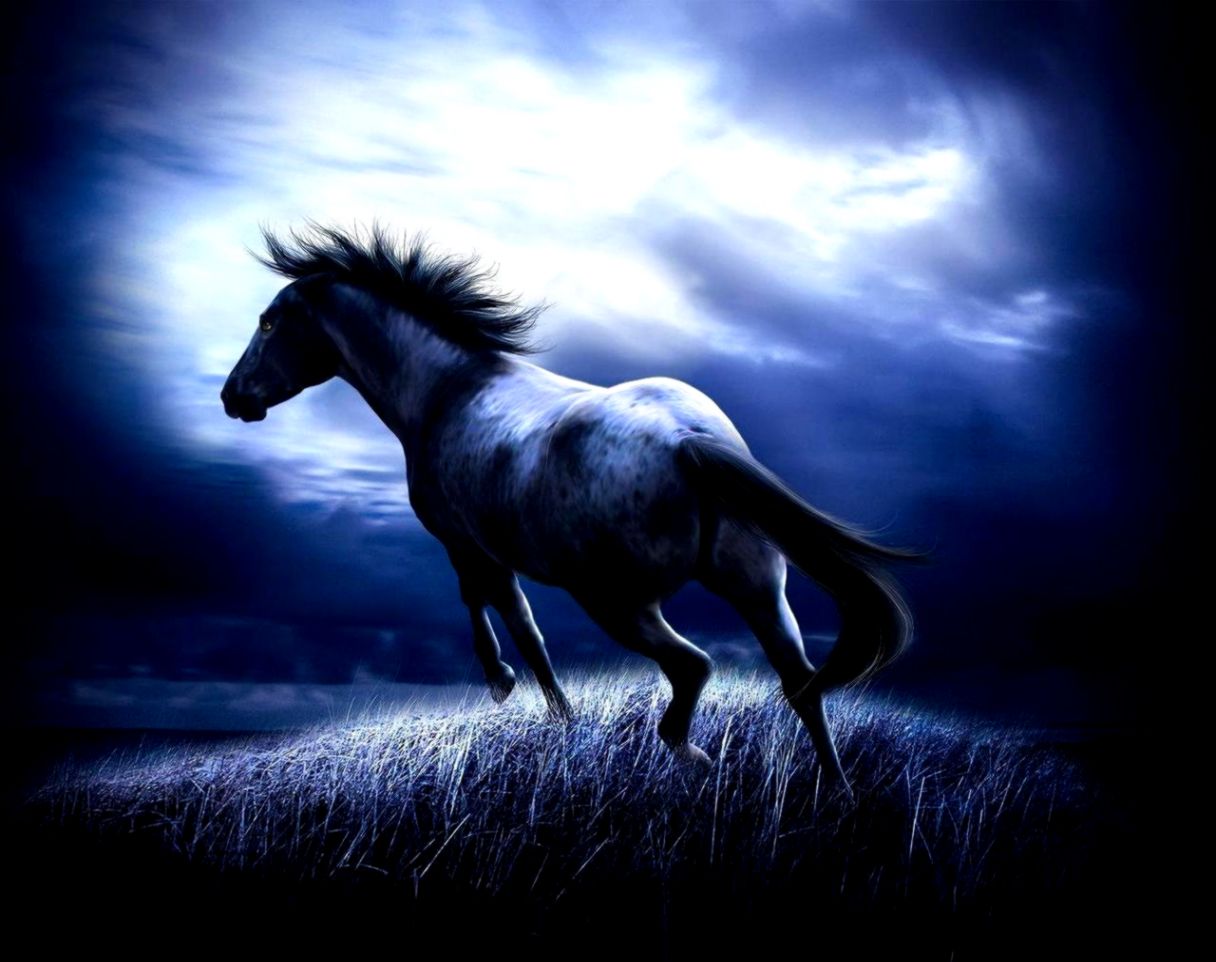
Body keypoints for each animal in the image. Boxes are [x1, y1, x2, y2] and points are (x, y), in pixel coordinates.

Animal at [221, 222, 917, 793]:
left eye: (269, 323)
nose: (233, 398)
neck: (448, 388)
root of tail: (689, 440)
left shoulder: (466, 543)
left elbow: (505, 616)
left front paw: (514, 689)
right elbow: (516, 618)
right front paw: (553, 714)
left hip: (616, 602)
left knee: (693, 667)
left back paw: (692, 756)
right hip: (759, 589)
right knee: (800, 683)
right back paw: (836, 791)